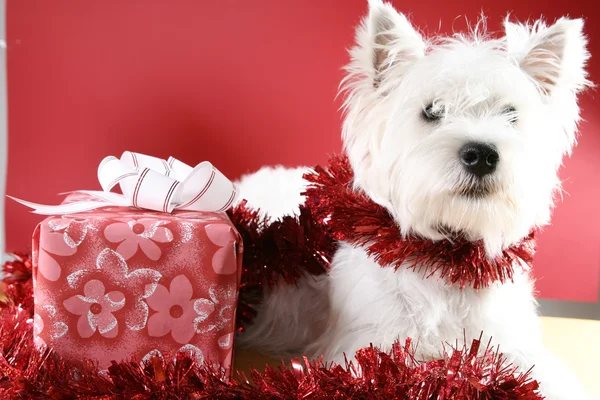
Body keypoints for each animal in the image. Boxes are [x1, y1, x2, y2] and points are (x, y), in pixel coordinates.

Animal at [233, 1, 592, 398]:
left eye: (511, 114)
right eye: (431, 111)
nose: (481, 155)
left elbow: (545, 377)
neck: (448, 259)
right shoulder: (369, 350)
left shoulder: (511, 345)